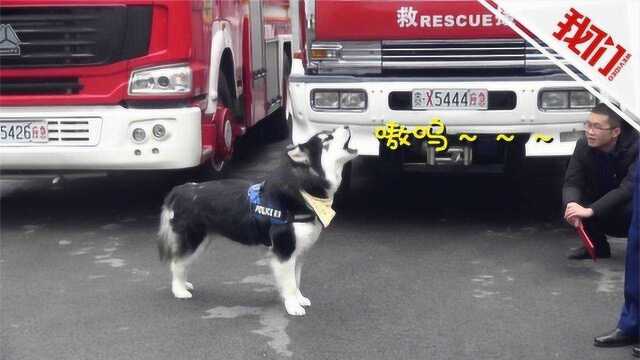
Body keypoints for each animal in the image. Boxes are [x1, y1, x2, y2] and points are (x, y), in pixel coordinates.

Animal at [158, 126, 358, 316]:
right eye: (327, 139)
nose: (346, 126)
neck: (305, 190)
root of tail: (182, 189)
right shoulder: (284, 250)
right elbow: (290, 283)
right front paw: (293, 305)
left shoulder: (298, 251)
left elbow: (296, 280)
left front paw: (299, 299)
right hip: (193, 240)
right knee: (177, 263)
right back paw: (179, 290)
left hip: (201, 241)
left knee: (182, 263)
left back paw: (184, 284)